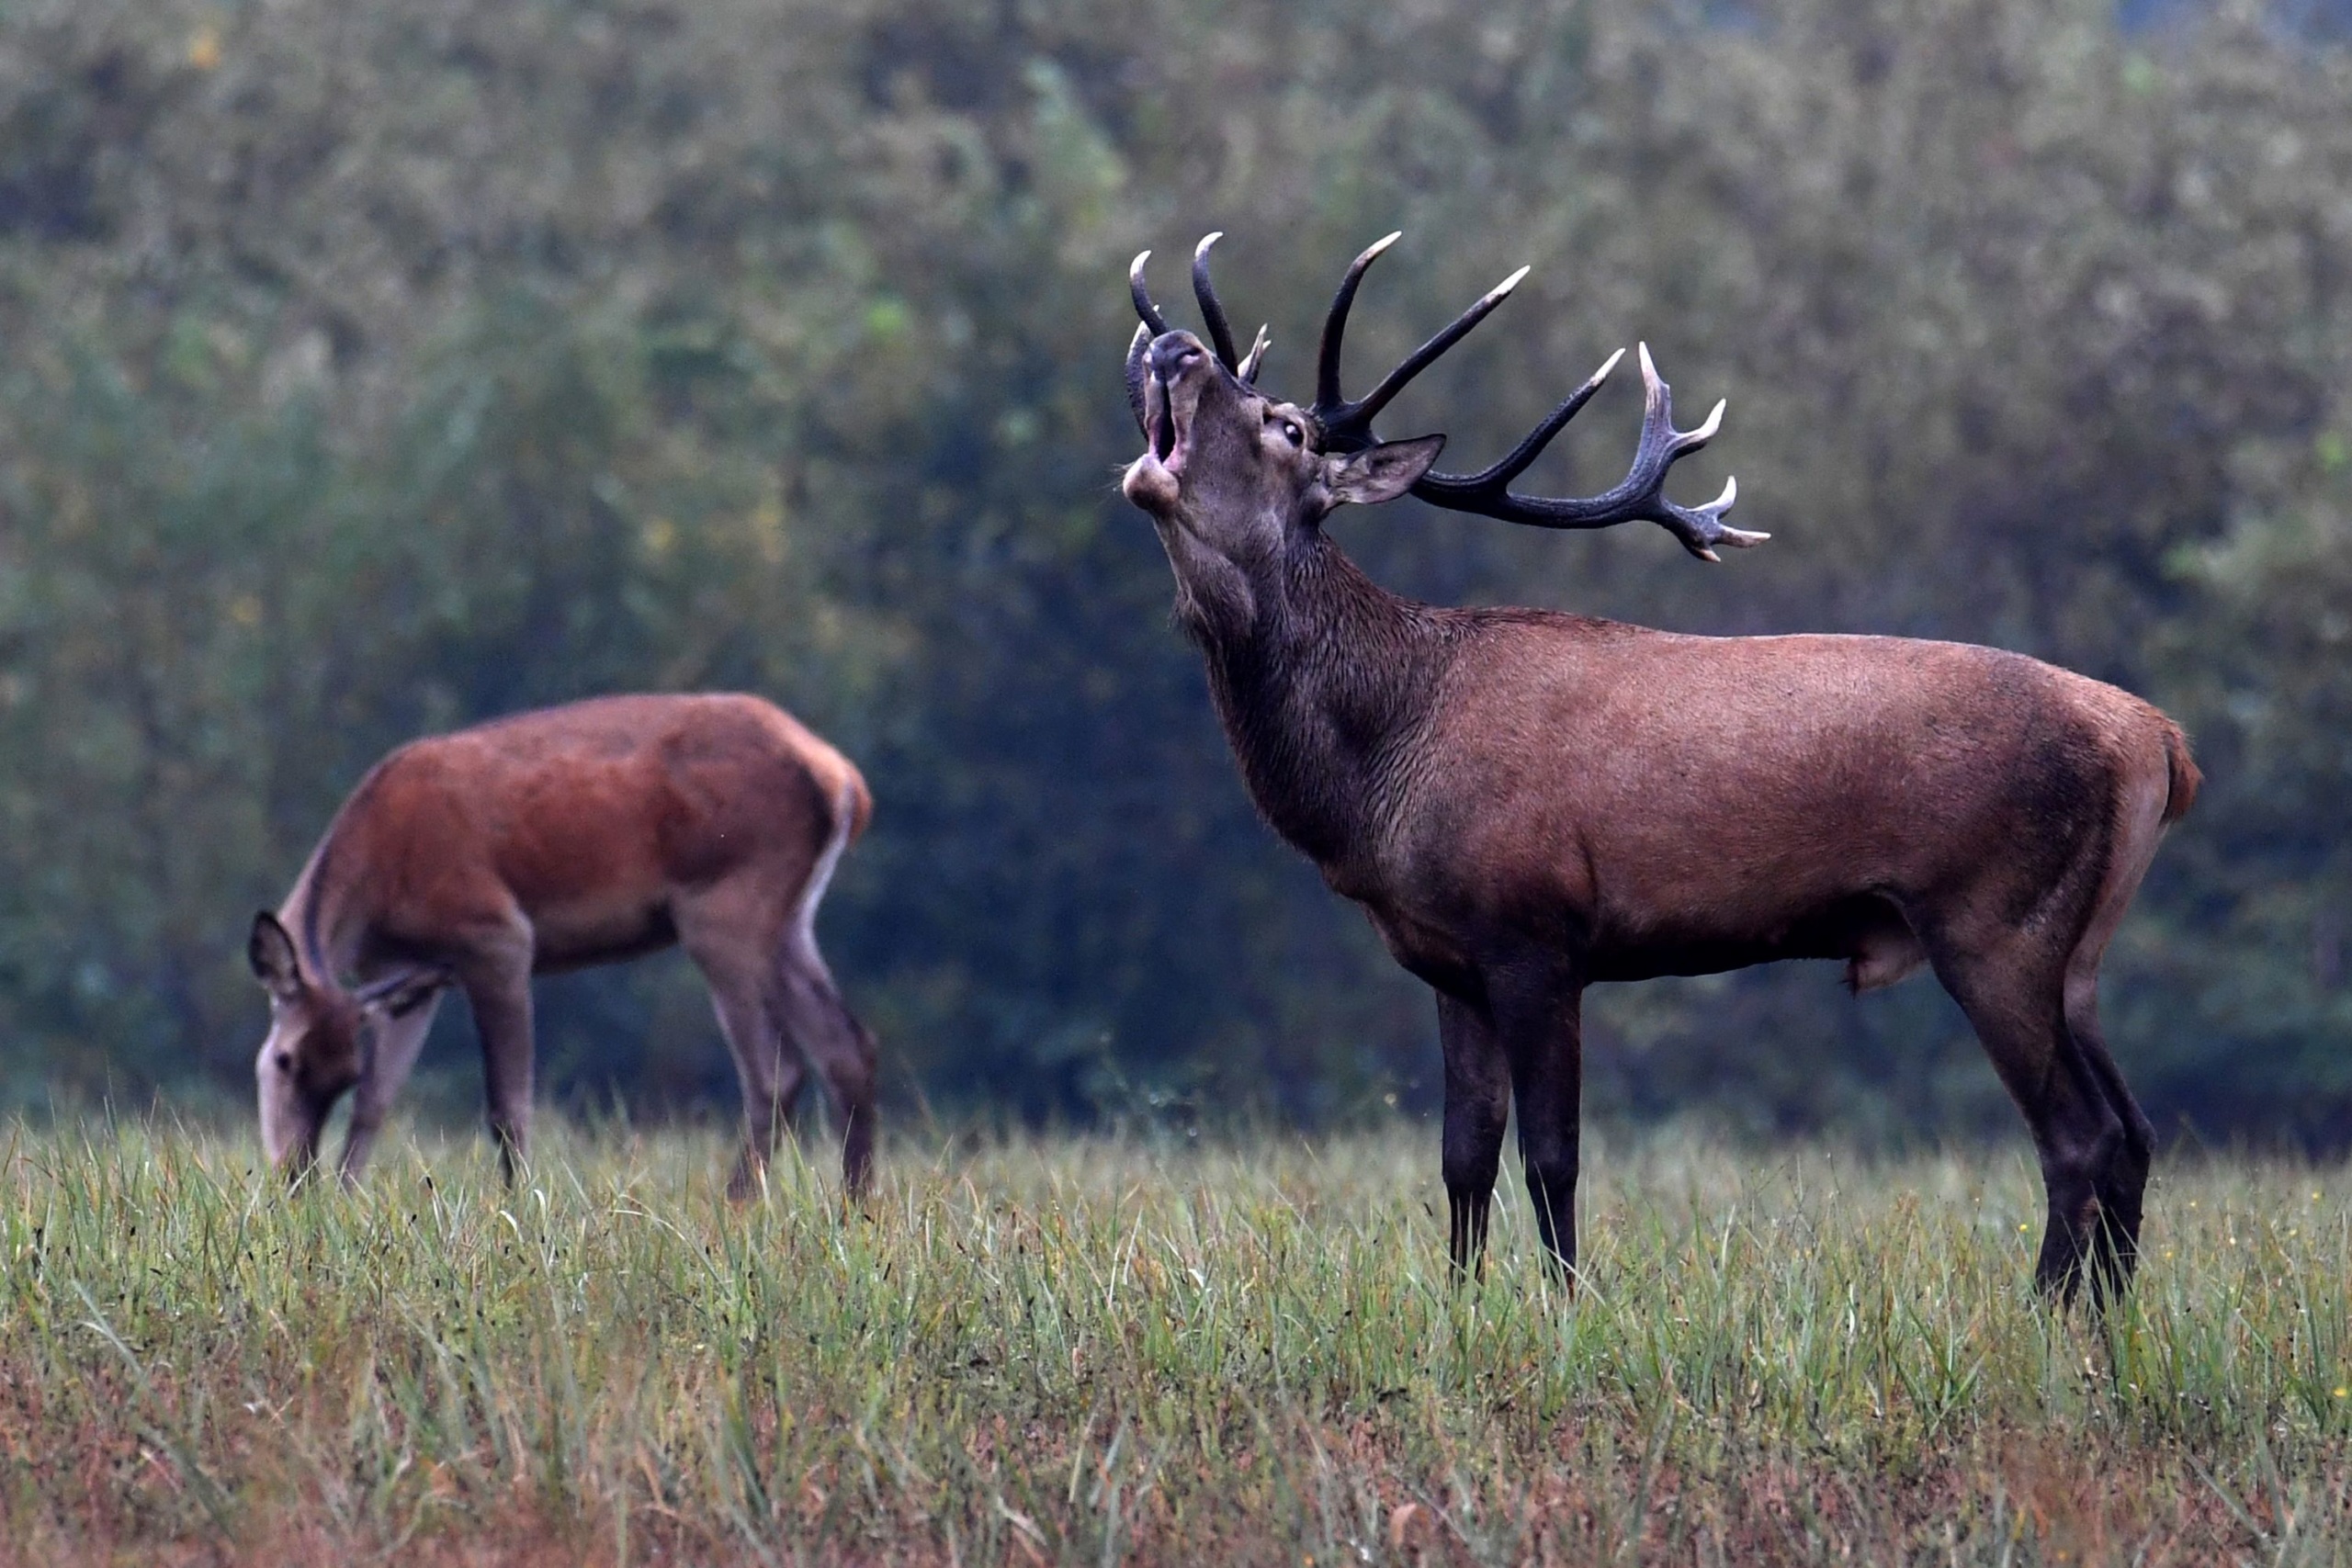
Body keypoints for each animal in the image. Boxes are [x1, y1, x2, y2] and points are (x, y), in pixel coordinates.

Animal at [248, 691, 879, 1194]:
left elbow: (508, 1107)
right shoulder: (407, 973)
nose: (294, 1177)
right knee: (846, 1048)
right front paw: (346, 1202)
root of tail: (844, 779)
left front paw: (518, 1206)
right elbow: (377, 1104)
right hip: (788, 918)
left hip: (726, 907)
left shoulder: (495, 936)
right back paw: (854, 1205)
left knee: (775, 1070)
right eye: (286, 1061)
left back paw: (738, 1205)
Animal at [1119, 232, 2182, 1306]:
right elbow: (1462, 1157)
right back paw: (2105, 1319)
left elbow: (1551, 1156)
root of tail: (2156, 739)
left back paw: (2045, 1313)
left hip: (1993, 921)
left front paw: (1563, 1306)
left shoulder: (1537, 932)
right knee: (2134, 1132)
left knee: (2079, 1137)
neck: (1379, 771)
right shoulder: (1451, 960)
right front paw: (1461, 1308)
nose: (1171, 347)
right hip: (2075, 951)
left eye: (1287, 426)